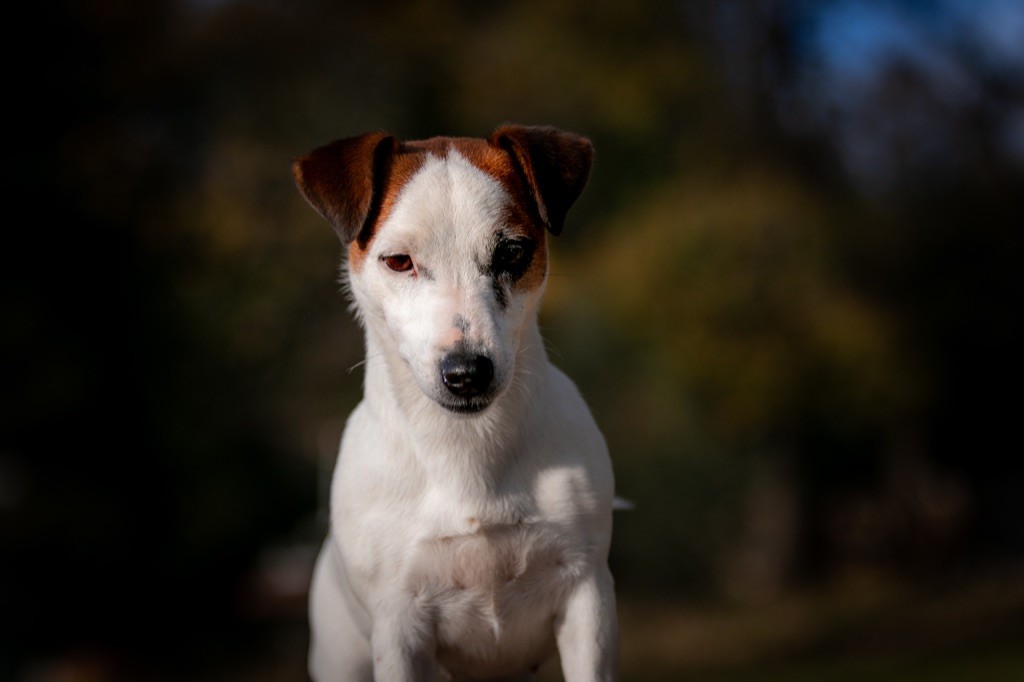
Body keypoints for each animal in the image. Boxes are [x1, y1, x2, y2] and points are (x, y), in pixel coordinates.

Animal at [292, 124, 618, 675]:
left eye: (512, 253)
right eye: (398, 261)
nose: (467, 373)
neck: (465, 449)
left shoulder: (586, 600)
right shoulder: (398, 628)